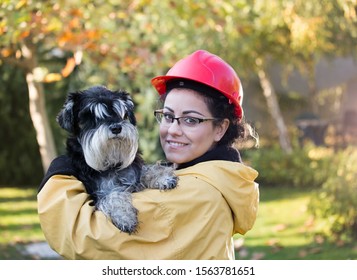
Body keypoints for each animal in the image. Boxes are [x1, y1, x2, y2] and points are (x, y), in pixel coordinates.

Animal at [57, 85, 178, 234]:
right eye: (90, 116)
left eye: (120, 113)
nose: (116, 128)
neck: (111, 163)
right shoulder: (99, 194)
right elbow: (113, 196)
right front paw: (124, 216)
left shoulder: (134, 172)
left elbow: (146, 170)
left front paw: (163, 177)